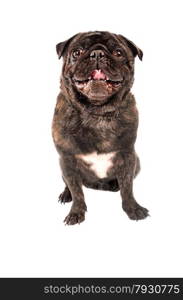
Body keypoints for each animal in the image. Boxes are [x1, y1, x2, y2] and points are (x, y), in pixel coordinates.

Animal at [51, 31, 149, 226]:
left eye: (118, 53)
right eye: (77, 52)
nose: (97, 54)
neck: (96, 113)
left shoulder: (128, 157)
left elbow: (128, 188)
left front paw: (133, 209)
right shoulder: (67, 160)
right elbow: (77, 191)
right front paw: (76, 212)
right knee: (69, 185)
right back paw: (66, 195)